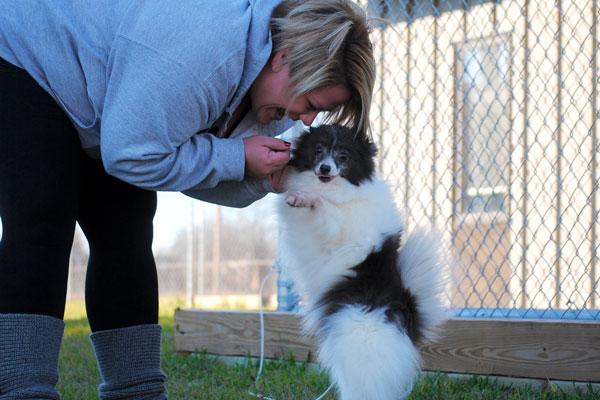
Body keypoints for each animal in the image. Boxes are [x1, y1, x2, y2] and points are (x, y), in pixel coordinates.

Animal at [276, 125, 446, 400]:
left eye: (343, 156)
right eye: (318, 150)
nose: (325, 168)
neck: (336, 187)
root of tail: (407, 315)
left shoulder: (340, 224)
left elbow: (325, 207)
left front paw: (305, 198)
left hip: (357, 340)